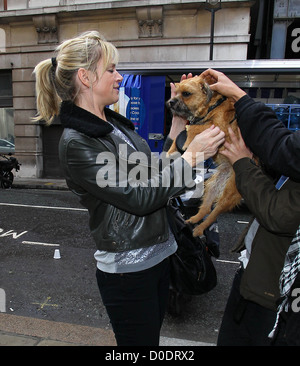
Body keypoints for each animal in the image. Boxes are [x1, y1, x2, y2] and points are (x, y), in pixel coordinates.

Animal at [169, 76, 241, 237]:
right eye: (176, 92)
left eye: (186, 94)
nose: (170, 102)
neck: (211, 107)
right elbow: (179, 135)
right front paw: (170, 151)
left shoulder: (219, 127)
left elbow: (194, 127)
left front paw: (187, 141)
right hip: (213, 185)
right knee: (207, 207)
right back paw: (194, 220)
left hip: (228, 194)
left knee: (214, 214)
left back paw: (199, 229)